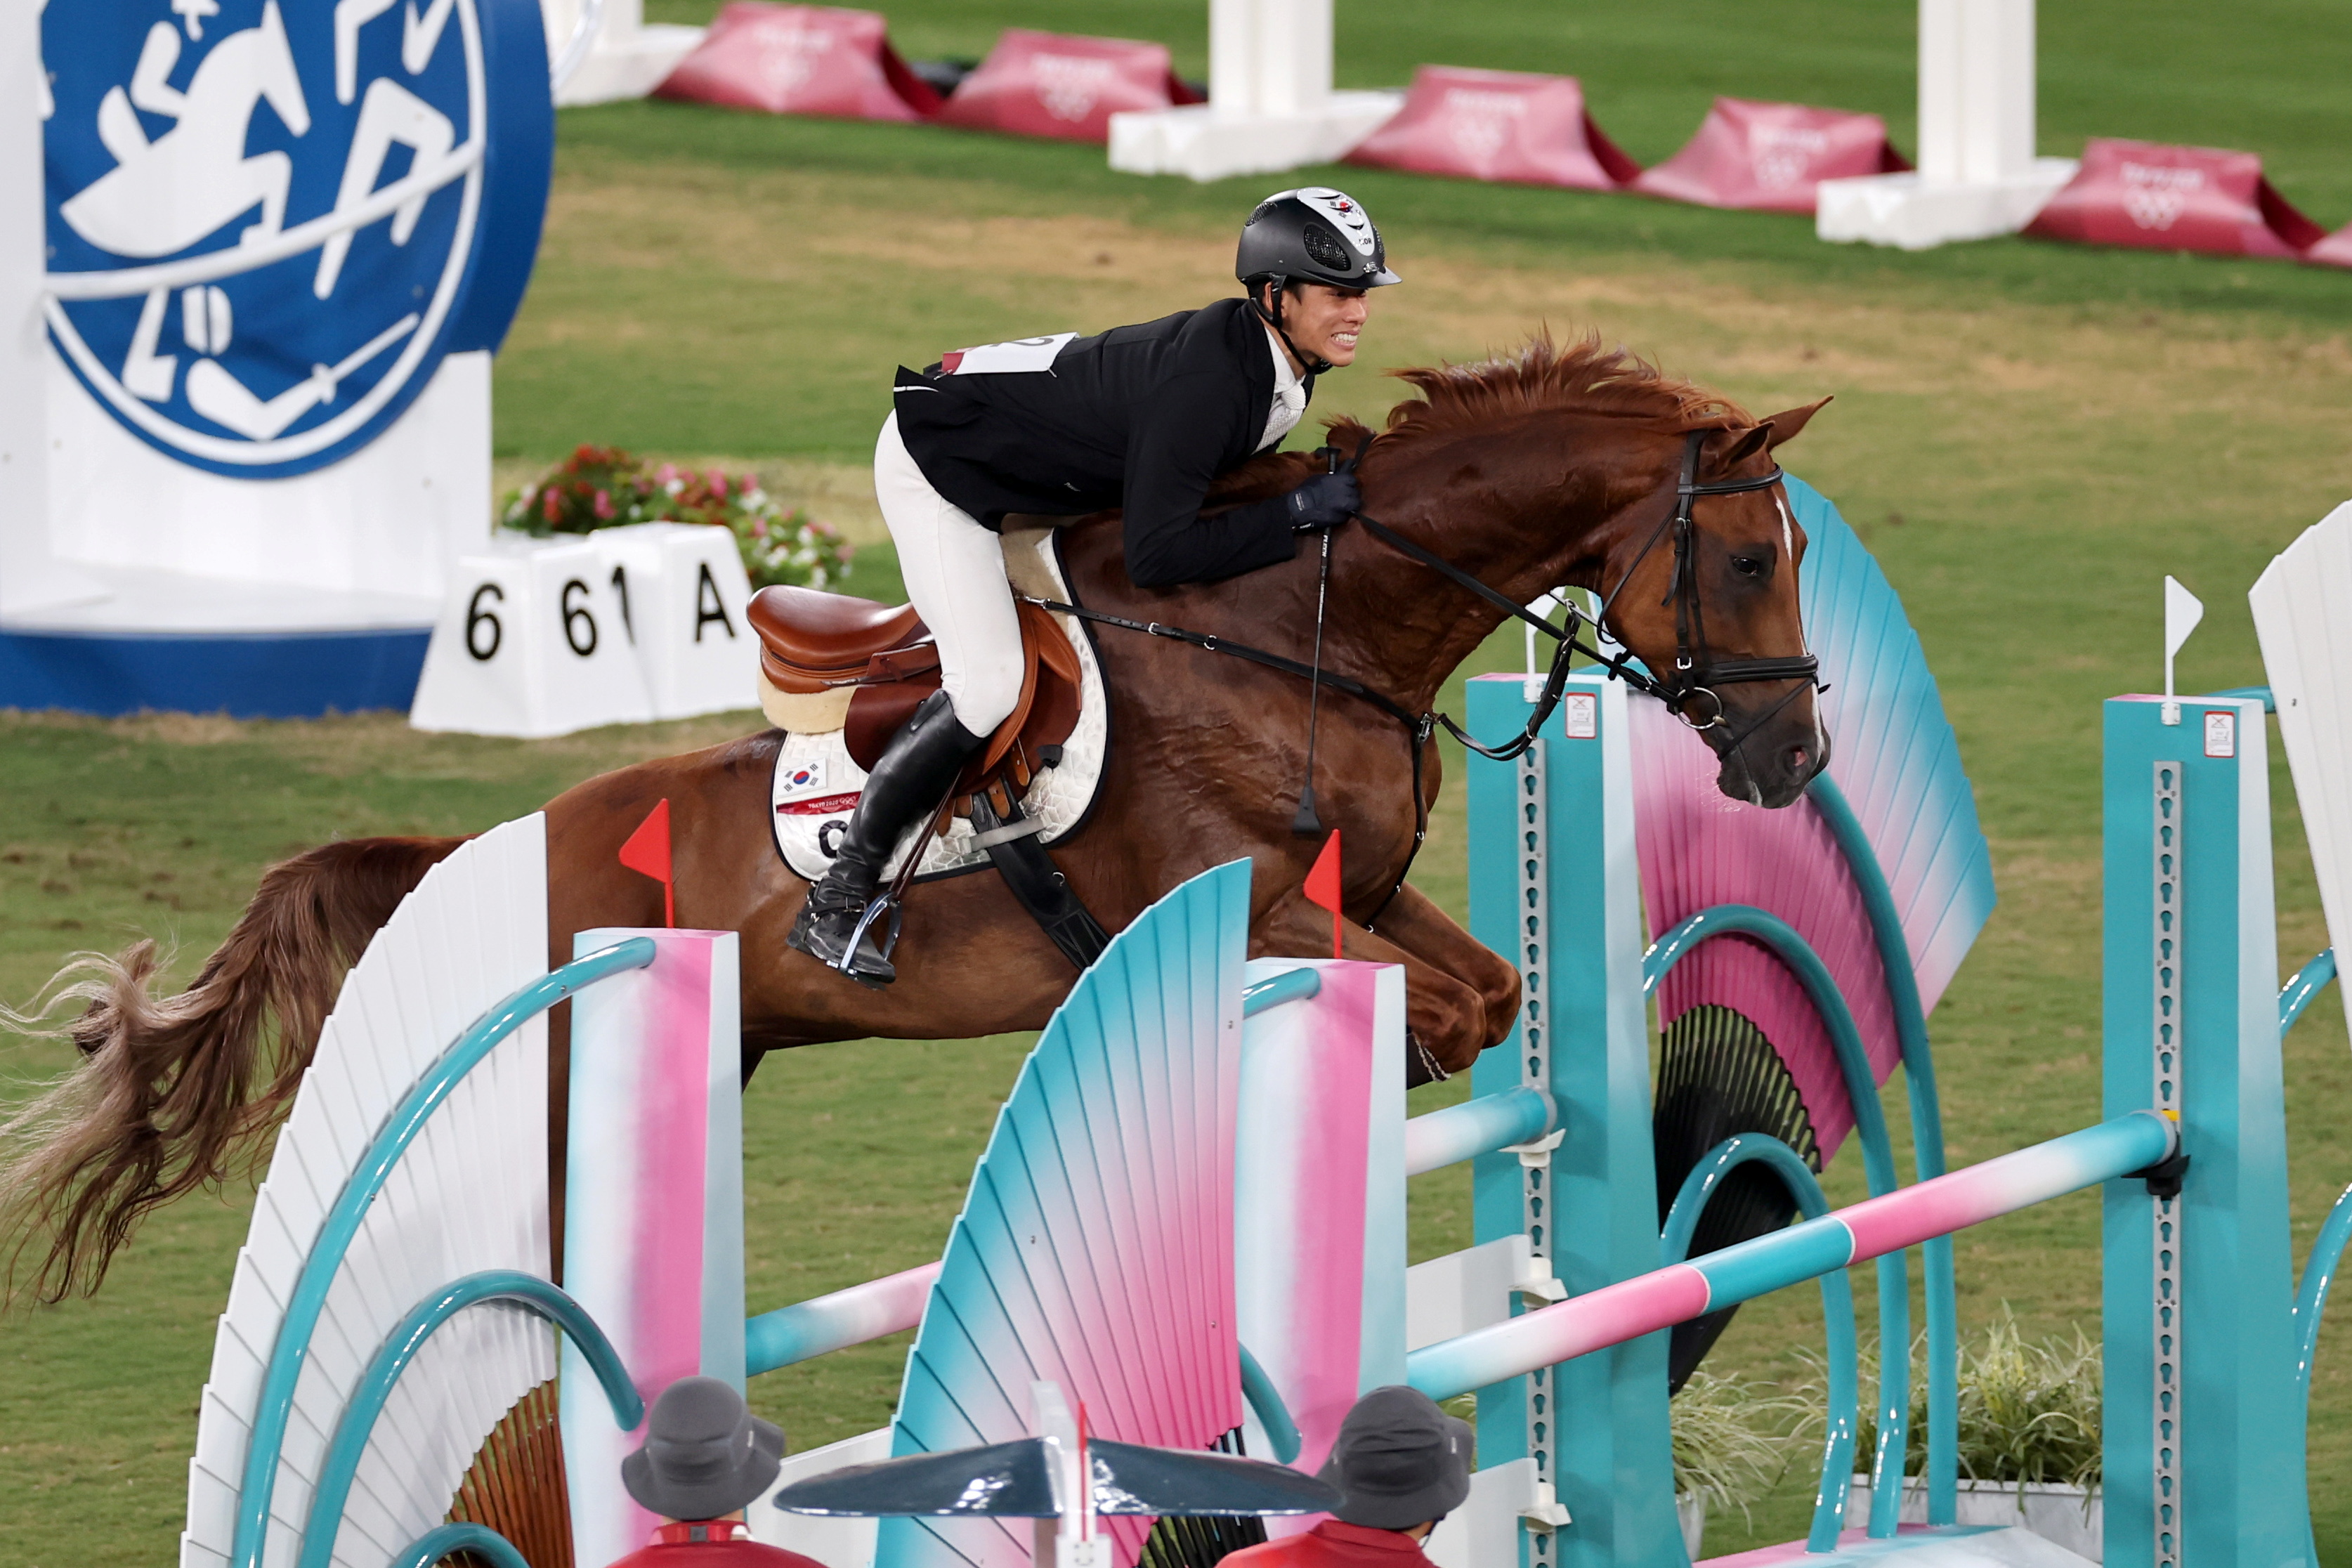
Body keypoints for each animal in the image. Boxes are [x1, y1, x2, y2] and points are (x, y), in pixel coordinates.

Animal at [0, 341, 1825, 1298]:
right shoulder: (1248, 898)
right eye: (1746, 557)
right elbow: (1435, 1011)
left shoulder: (1361, 892)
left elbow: (1487, 993)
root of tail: (496, 854)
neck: (1305, 623)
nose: (1790, 761)